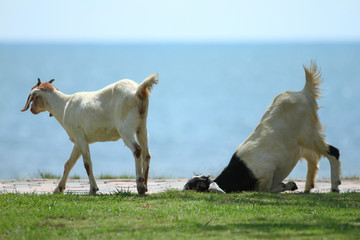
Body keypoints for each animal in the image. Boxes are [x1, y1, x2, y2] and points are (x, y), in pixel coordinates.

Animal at [21, 75, 158, 195]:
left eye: (33, 96)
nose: (32, 109)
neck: (64, 105)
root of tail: (138, 90)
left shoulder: (80, 138)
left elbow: (87, 164)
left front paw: (93, 189)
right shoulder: (78, 140)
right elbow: (68, 163)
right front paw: (58, 189)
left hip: (125, 128)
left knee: (137, 150)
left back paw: (140, 186)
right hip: (141, 127)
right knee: (146, 154)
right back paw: (145, 186)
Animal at [184, 62, 342, 194]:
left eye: (195, 187)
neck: (243, 172)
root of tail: (303, 92)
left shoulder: (267, 171)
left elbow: (267, 189)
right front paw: (291, 185)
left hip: (308, 133)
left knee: (333, 152)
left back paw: (334, 186)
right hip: (302, 144)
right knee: (313, 159)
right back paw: (308, 188)